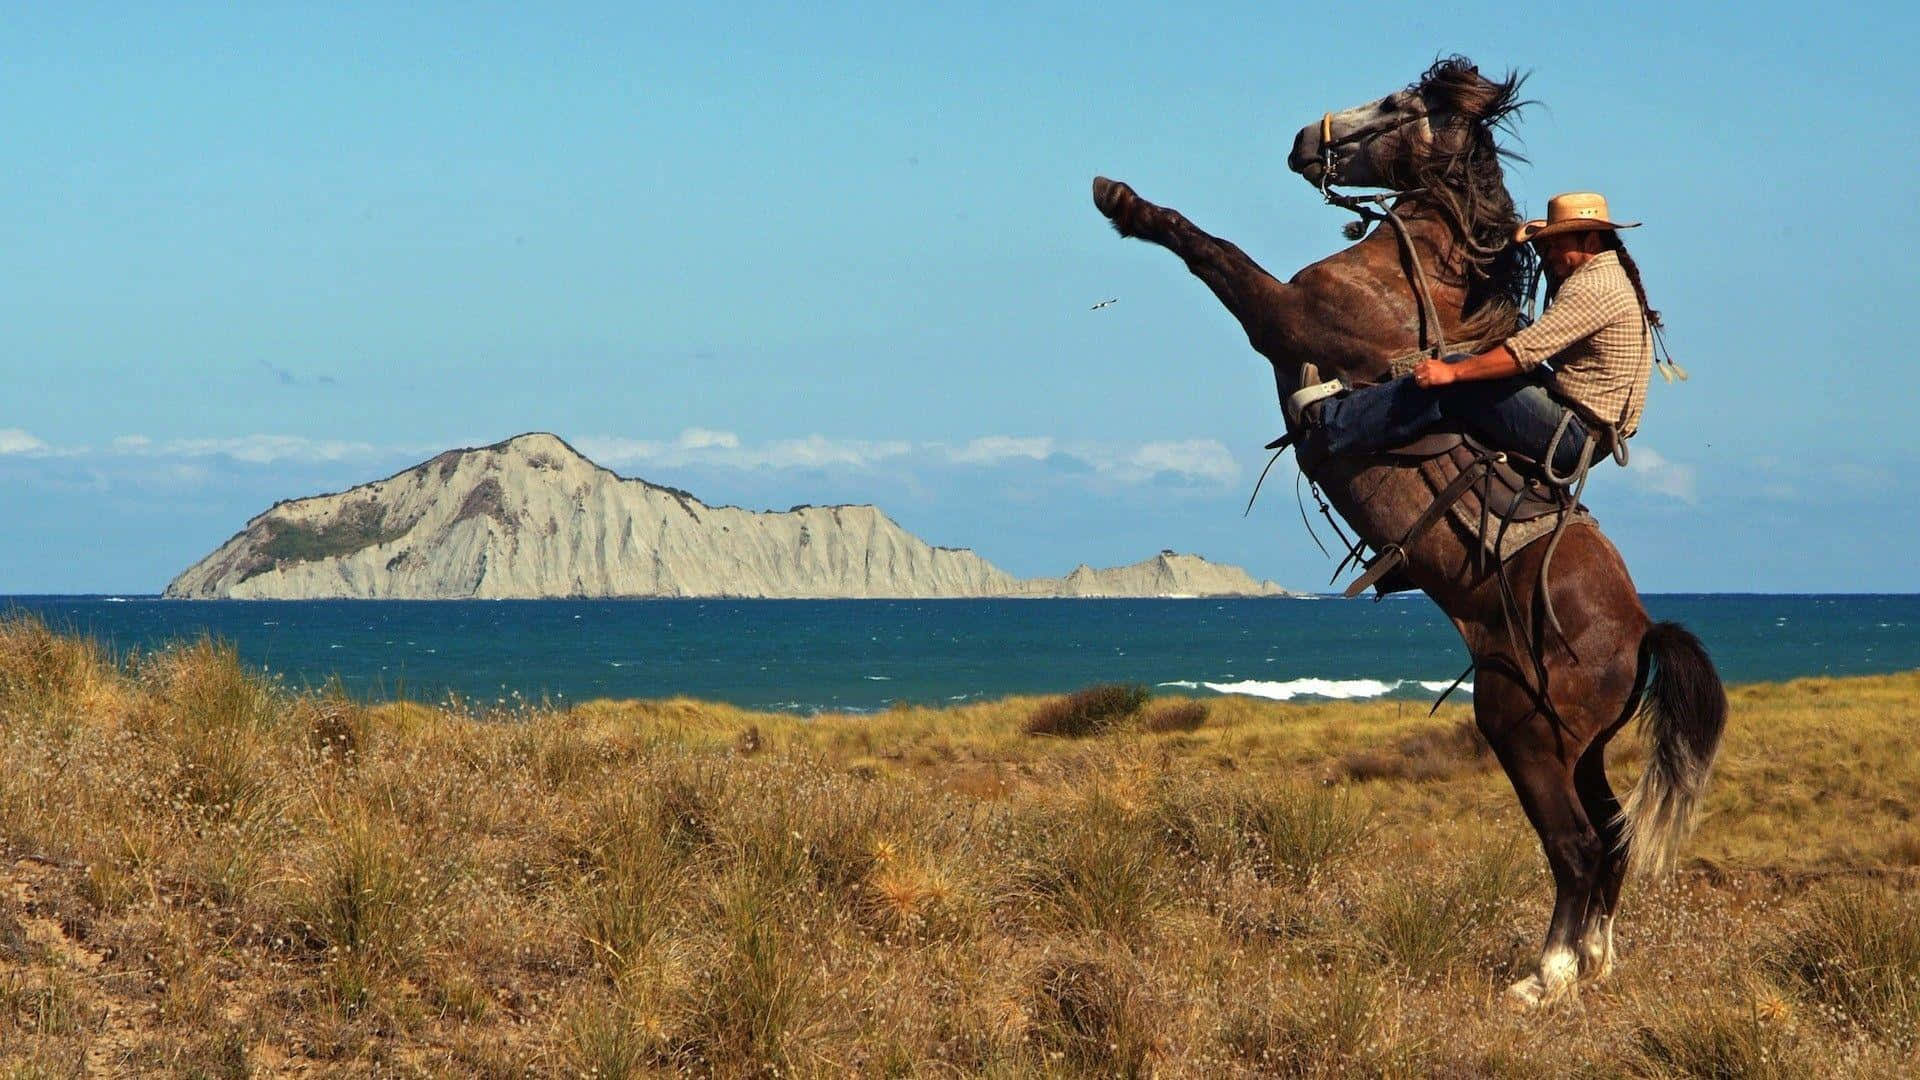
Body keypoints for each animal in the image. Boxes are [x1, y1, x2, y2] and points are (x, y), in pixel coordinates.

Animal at [1091, 57, 1727, 1008]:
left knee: (1576, 847)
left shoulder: (1284, 318)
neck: (1416, 276)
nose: (1302, 139)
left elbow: (1214, 251)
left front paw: (1122, 201)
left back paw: (1545, 979)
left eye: (1398, 103)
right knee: (1608, 838)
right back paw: (1595, 962)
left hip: (1522, 731)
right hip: (1576, 746)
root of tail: (1644, 631)